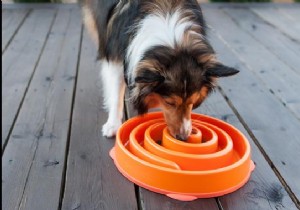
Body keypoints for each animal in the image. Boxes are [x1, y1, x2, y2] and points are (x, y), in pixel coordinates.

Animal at [80, 0, 239, 140]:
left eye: (192, 102)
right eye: (170, 103)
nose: (183, 137)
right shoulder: (116, 58)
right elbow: (115, 94)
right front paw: (112, 125)